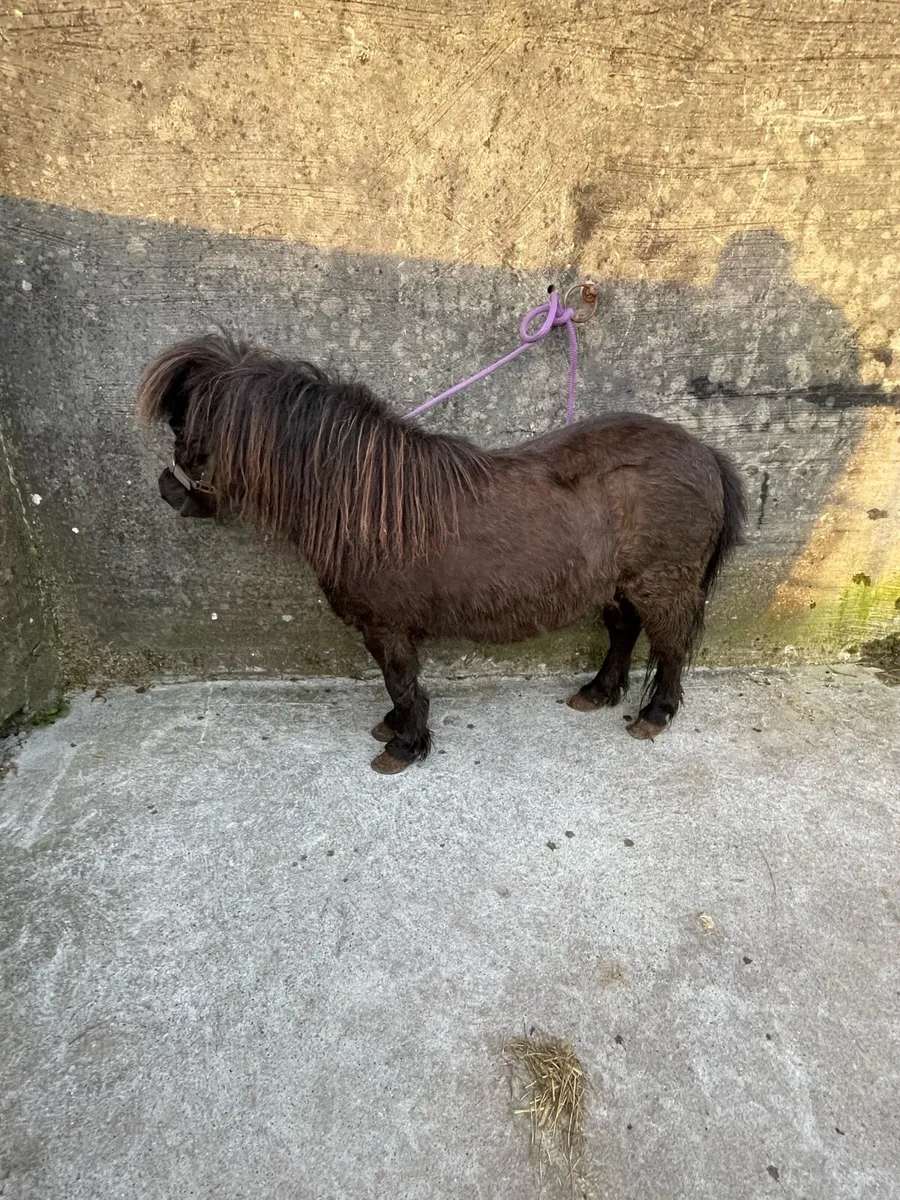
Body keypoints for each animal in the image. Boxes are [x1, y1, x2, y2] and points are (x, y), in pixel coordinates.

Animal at [138, 333, 746, 774]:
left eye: (187, 429)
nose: (169, 487)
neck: (367, 501)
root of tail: (706, 452)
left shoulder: (387, 627)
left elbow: (401, 681)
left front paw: (405, 746)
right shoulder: (385, 628)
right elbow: (398, 683)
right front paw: (395, 727)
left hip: (662, 583)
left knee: (670, 646)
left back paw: (655, 714)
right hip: (617, 585)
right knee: (624, 631)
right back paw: (597, 692)